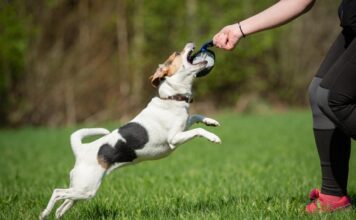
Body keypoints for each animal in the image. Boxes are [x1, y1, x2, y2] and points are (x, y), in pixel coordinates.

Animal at [40, 42, 221, 219]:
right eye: (177, 53)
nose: (191, 43)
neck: (172, 98)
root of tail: (81, 149)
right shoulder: (175, 138)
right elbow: (199, 131)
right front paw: (213, 137)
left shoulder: (184, 125)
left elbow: (196, 116)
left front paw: (211, 122)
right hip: (86, 188)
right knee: (57, 192)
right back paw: (44, 213)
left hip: (82, 190)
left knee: (62, 207)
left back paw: (55, 214)